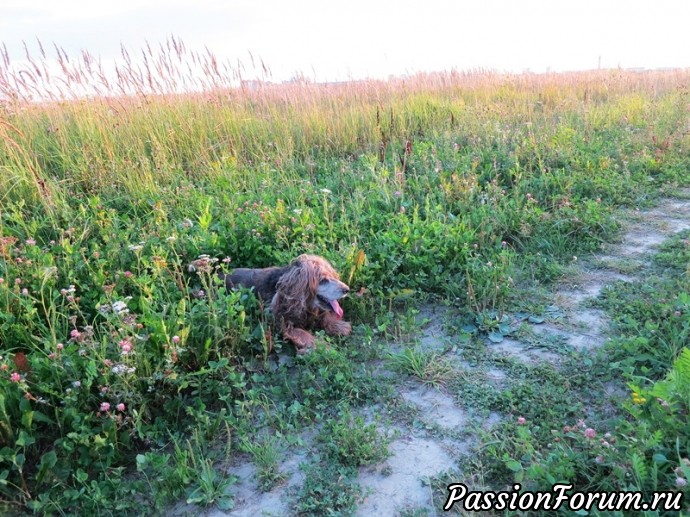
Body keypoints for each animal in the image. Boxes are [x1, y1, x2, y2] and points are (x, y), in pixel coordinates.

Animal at [220, 253, 350, 350]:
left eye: (333, 276)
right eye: (323, 280)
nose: (347, 289)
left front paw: (338, 325)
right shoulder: (282, 322)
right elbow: (304, 334)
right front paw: (325, 347)